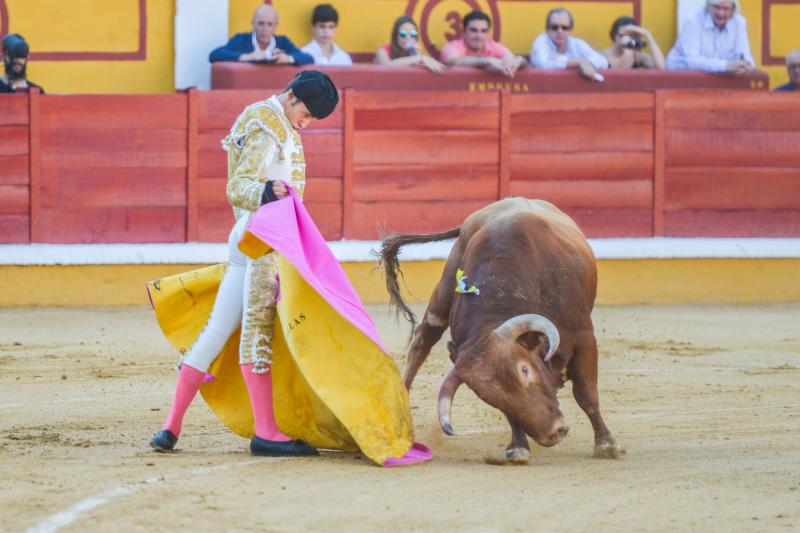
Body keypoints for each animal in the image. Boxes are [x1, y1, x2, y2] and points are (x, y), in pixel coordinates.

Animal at [382, 197, 624, 464]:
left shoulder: (584, 337)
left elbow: (586, 393)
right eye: (487, 396)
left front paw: (607, 445)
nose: (554, 433)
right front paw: (518, 447)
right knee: (423, 341)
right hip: (444, 292)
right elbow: (512, 414)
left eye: (525, 370)